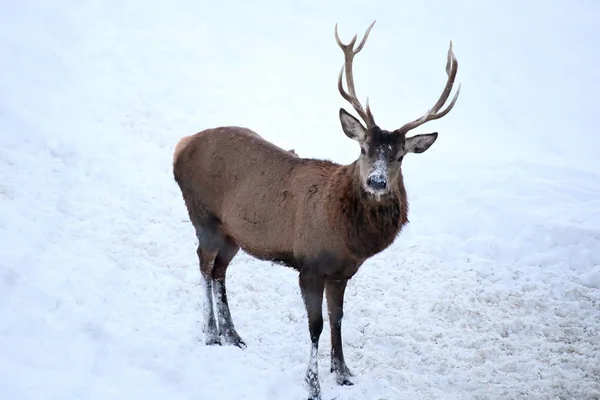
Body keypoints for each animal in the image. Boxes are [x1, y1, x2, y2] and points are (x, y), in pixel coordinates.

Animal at [171, 21, 462, 400]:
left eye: (399, 156)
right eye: (364, 149)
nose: (377, 181)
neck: (347, 239)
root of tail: (181, 146)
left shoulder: (342, 272)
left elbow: (338, 318)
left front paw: (343, 371)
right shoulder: (309, 265)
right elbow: (316, 325)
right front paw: (313, 384)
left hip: (233, 232)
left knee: (220, 270)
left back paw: (233, 335)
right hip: (202, 214)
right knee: (204, 264)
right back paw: (209, 333)